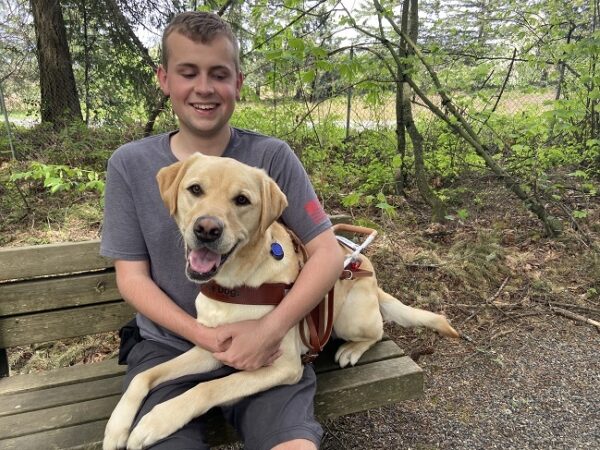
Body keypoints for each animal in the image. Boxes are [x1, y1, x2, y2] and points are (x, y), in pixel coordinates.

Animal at [103, 153, 460, 448]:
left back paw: (351, 350)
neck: (235, 286)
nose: (207, 229)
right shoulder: (210, 349)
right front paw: (117, 427)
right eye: (195, 189)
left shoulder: (283, 367)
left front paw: (156, 421)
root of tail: (363, 263)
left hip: (349, 318)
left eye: (242, 200)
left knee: (377, 332)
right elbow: (143, 376)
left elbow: (210, 388)